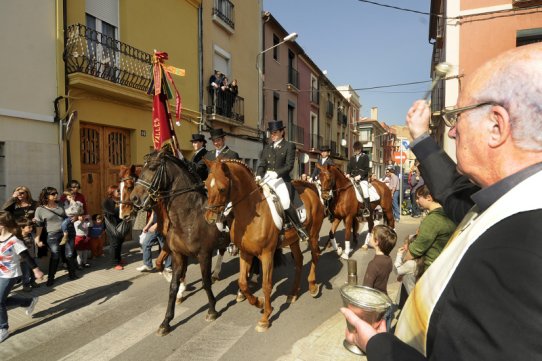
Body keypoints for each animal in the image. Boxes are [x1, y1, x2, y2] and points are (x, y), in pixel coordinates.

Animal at [130, 149, 232, 334]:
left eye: (153, 168)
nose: (134, 198)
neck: (188, 216)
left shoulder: (204, 254)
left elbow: (205, 283)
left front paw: (212, 310)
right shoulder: (177, 254)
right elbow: (172, 285)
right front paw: (166, 321)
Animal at [203, 159, 324, 330]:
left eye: (222, 188)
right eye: (206, 186)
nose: (209, 218)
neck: (250, 214)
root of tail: (311, 188)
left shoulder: (267, 254)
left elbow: (267, 284)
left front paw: (265, 317)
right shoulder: (245, 252)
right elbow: (243, 282)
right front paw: (259, 303)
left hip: (313, 235)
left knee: (315, 256)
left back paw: (313, 287)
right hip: (293, 240)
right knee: (299, 261)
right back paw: (293, 294)